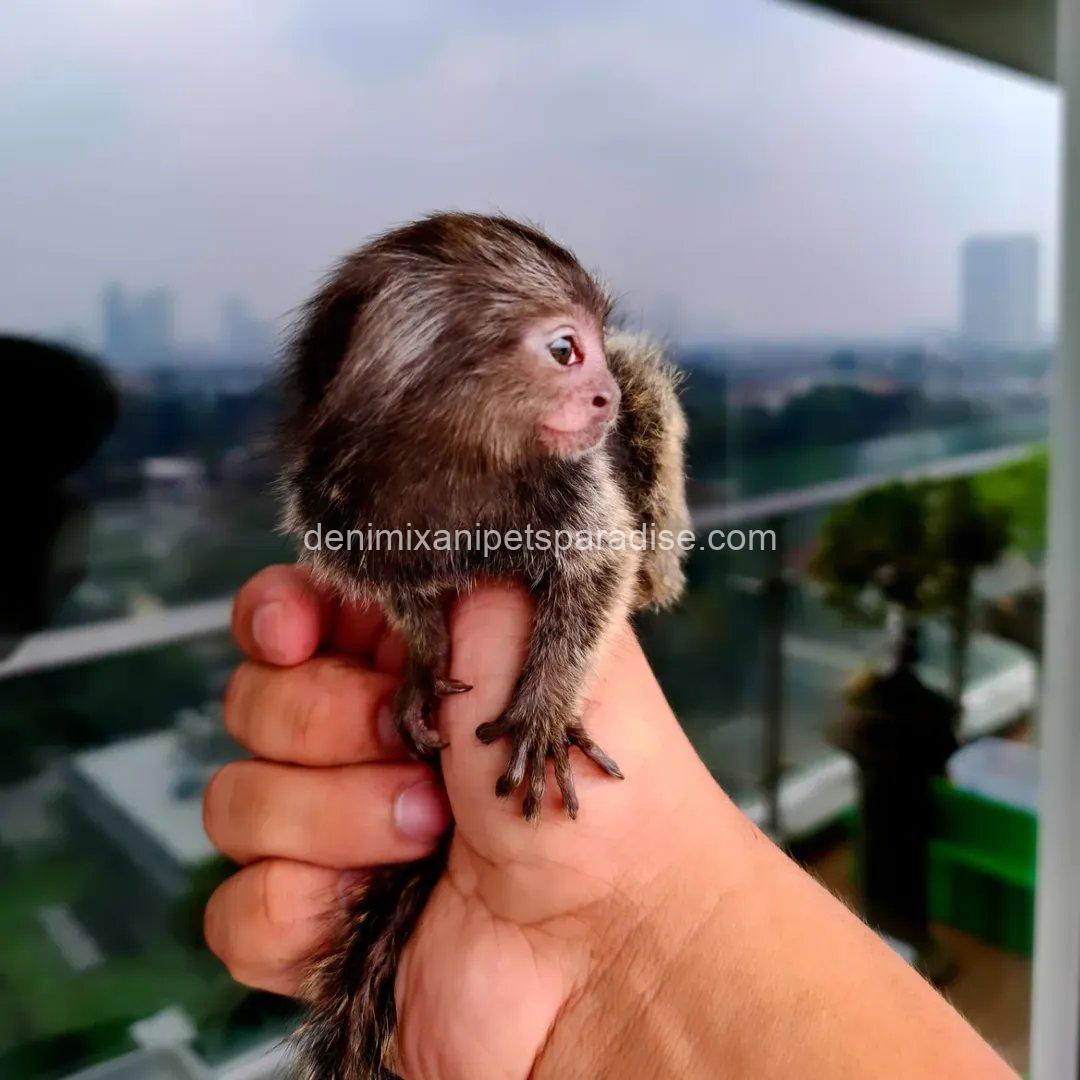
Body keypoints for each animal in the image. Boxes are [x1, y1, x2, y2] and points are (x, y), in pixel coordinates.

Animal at [279, 212, 690, 1079]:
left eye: (592, 349)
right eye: (564, 350)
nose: (601, 392)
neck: (458, 465)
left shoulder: (575, 485)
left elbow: (598, 568)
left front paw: (542, 712)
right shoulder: (338, 508)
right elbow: (406, 599)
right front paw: (425, 664)